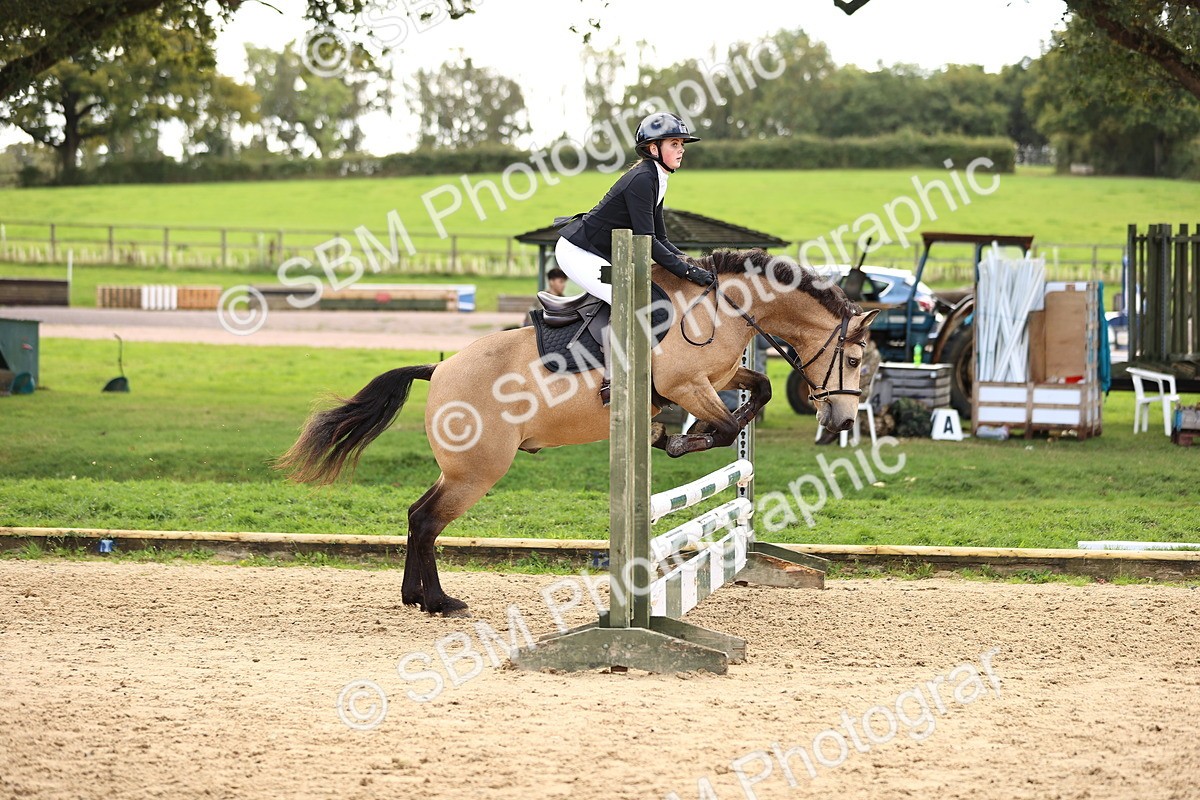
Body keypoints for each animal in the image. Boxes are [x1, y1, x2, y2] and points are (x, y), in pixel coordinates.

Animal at [278, 249, 879, 615]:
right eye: (852, 359)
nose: (843, 422)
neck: (724, 308)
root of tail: (439, 369)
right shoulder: (686, 384)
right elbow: (729, 425)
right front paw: (675, 439)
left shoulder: (719, 378)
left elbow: (760, 393)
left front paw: (672, 435)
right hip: (477, 471)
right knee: (427, 521)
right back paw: (440, 601)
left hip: (462, 469)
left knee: (416, 516)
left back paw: (416, 597)